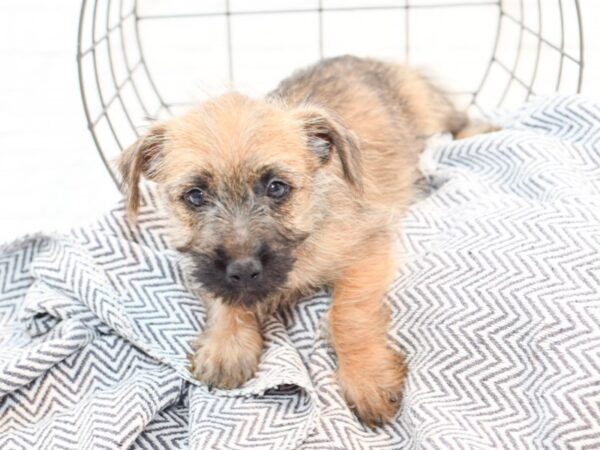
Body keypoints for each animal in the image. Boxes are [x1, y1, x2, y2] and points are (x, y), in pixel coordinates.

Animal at [118, 55, 492, 426]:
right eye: (195, 196)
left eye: (276, 187)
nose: (243, 269)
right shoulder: (204, 268)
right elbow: (223, 296)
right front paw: (227, 345)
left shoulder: (366, 250)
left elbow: (348, 315)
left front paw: (368, 377)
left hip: (428, 108)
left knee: (458, 122)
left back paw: (483, 130)